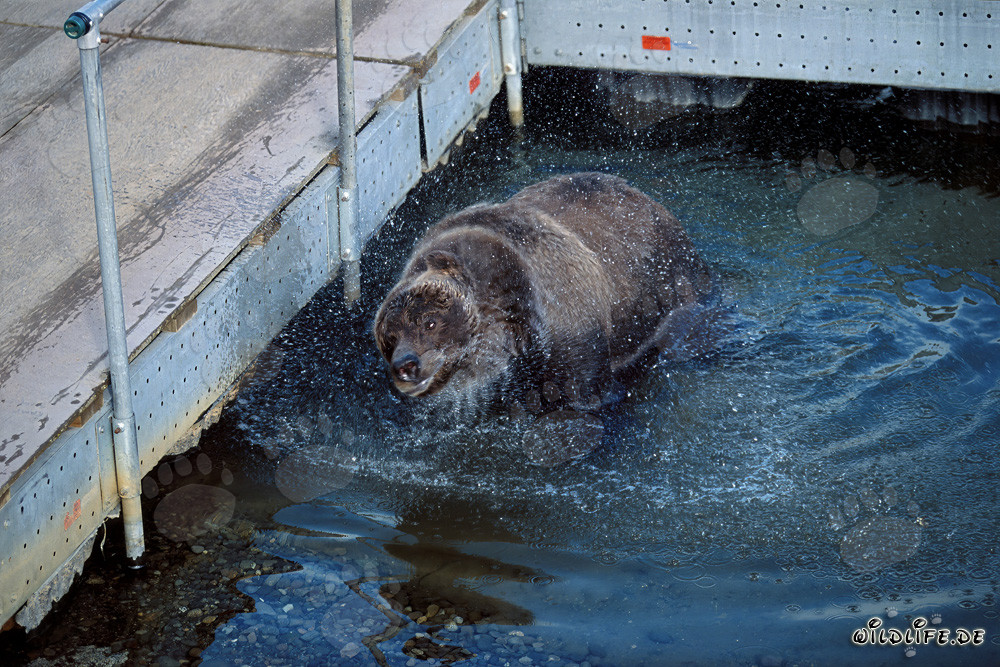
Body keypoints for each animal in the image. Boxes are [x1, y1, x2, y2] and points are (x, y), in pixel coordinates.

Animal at [373, 172, 716, 423]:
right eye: (390, 337)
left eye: (430, 322)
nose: (406, 365)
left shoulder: (570, 321)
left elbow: (581, 395)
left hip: (671, 278)